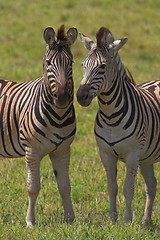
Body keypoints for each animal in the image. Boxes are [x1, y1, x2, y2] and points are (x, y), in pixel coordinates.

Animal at [0, 24, 77, 227]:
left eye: (72, 63)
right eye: (48, 63)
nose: (62, 97)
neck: (58, 116)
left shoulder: (62, 150)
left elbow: (65, 185)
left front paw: (70, 219)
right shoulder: (32, 151)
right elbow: (33, 186)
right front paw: (30, 222)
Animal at [76, 27, 160, 224]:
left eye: (102, 66)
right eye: (83, 65)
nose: (81, 96)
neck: (110, 116)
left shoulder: (132, 155)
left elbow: (128, 188)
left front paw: (127, 220)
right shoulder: (106, 154)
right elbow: (112, 187)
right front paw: (112, 219)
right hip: (147, 157)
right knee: (152, 185)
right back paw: (145, 222)